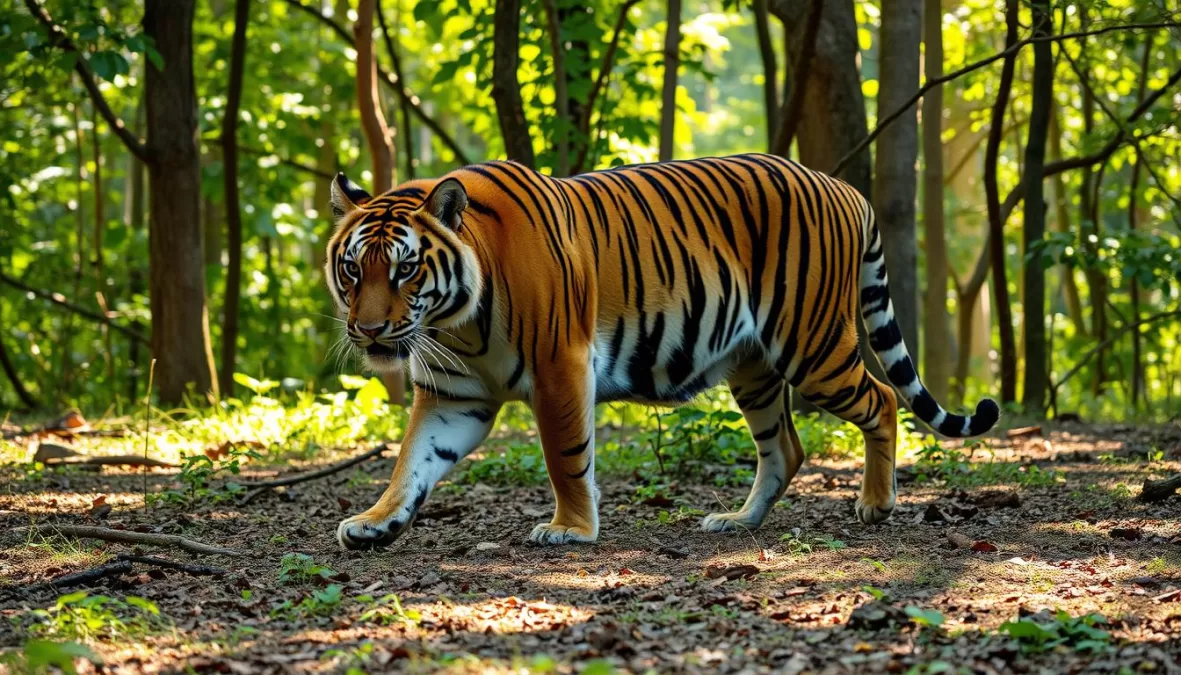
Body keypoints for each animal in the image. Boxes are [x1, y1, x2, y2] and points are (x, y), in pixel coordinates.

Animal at [324, 153, 999, 550]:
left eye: (406, 268)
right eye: (354, 269)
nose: (371, 331)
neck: (455, 322)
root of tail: (844, 187)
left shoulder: (560, 367)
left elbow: (565, 456)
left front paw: (570, 529)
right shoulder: (451, 394)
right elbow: (411, 461)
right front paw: (377, 521)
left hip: (812, 347)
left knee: (882, 399)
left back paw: (876, 505)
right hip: (754, 366)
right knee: (785, 446)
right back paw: (738, 521)